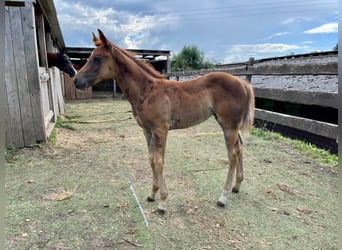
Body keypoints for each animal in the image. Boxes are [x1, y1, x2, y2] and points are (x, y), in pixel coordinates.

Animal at [73, 29, 254, 213]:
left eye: (97, 58)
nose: (76, 80)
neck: (148, 91)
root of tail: (242, 82)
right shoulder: (147, 130)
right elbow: (151, 159)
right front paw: (152, 194)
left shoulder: (161, 129)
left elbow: (159, 161)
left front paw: (162, 202)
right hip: (229, 125)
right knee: (239, 148)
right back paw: (237, 186)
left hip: (228, 125)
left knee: (232, 156)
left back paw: (223, 197)